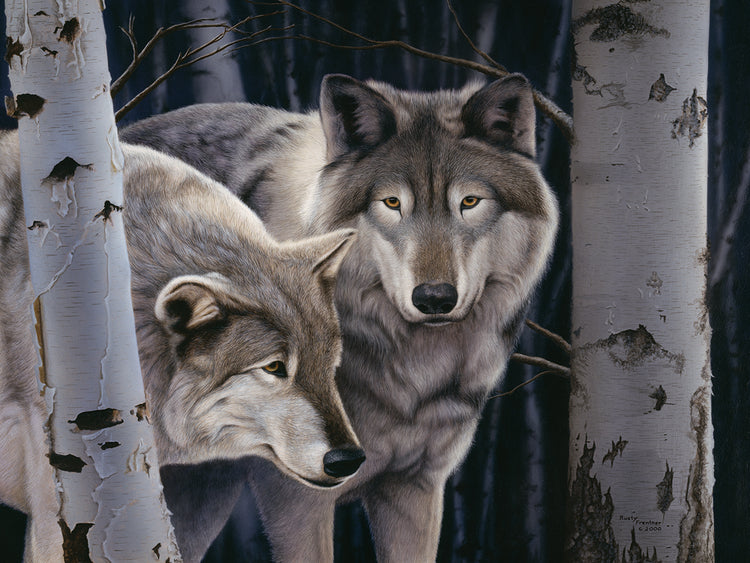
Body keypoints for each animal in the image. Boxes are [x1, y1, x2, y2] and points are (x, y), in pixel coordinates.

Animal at [122, 73, 559, 561]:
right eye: (391, 203)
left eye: (469, 201)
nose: (434, 298)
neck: (411, 376)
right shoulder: (296, 500)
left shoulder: (416, 486)